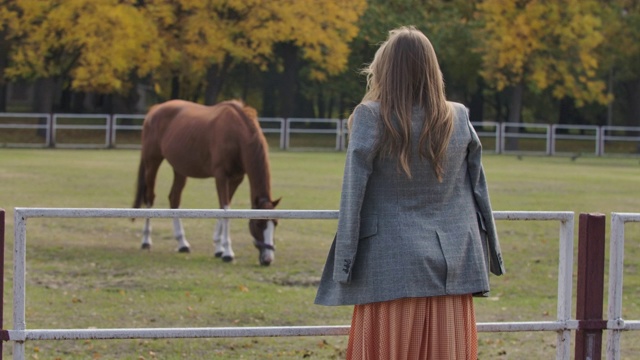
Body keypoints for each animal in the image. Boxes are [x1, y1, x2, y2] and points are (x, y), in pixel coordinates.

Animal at [132, 100, 280, 266]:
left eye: (275, 223)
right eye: (259, 224)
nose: (267, 259)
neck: (236, 134)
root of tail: (154, 109)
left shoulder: (236, 179)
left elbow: (222, 208)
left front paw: (219, 248)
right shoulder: (221, 176)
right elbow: (226, 209)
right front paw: (227, 253)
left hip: (180, 169)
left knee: (174, 199)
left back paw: (182, 243)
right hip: (152, 162)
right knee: (150, 198)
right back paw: (146, 241)